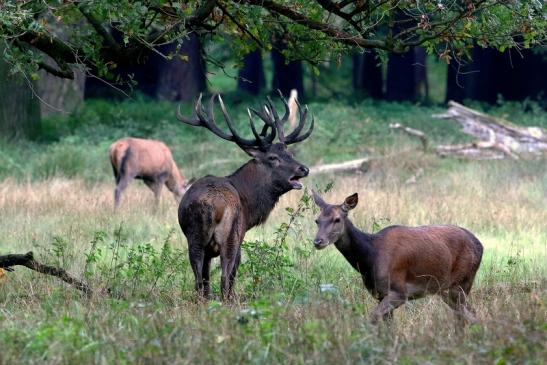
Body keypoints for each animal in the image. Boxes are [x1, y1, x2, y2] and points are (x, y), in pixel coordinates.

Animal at [176, 93, 312, 298]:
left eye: (290, 153)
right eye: (273, 158)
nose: (303, 169)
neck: (249, 204)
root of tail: (211, 205)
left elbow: (206, 279)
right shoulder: (240, 235)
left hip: (195, 237)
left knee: (199, 279)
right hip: (230, 236)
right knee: (225, 277)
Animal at [312, 191, 484, 328]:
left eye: (337, 219)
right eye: (317, 220)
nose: (318, 241)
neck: (371, 258)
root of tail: (480, 245)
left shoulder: (399, 291)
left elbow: (373, 317)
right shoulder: (380, 294)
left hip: (461, 283)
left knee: (470, 314)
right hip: (447, 290)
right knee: (465, 315)